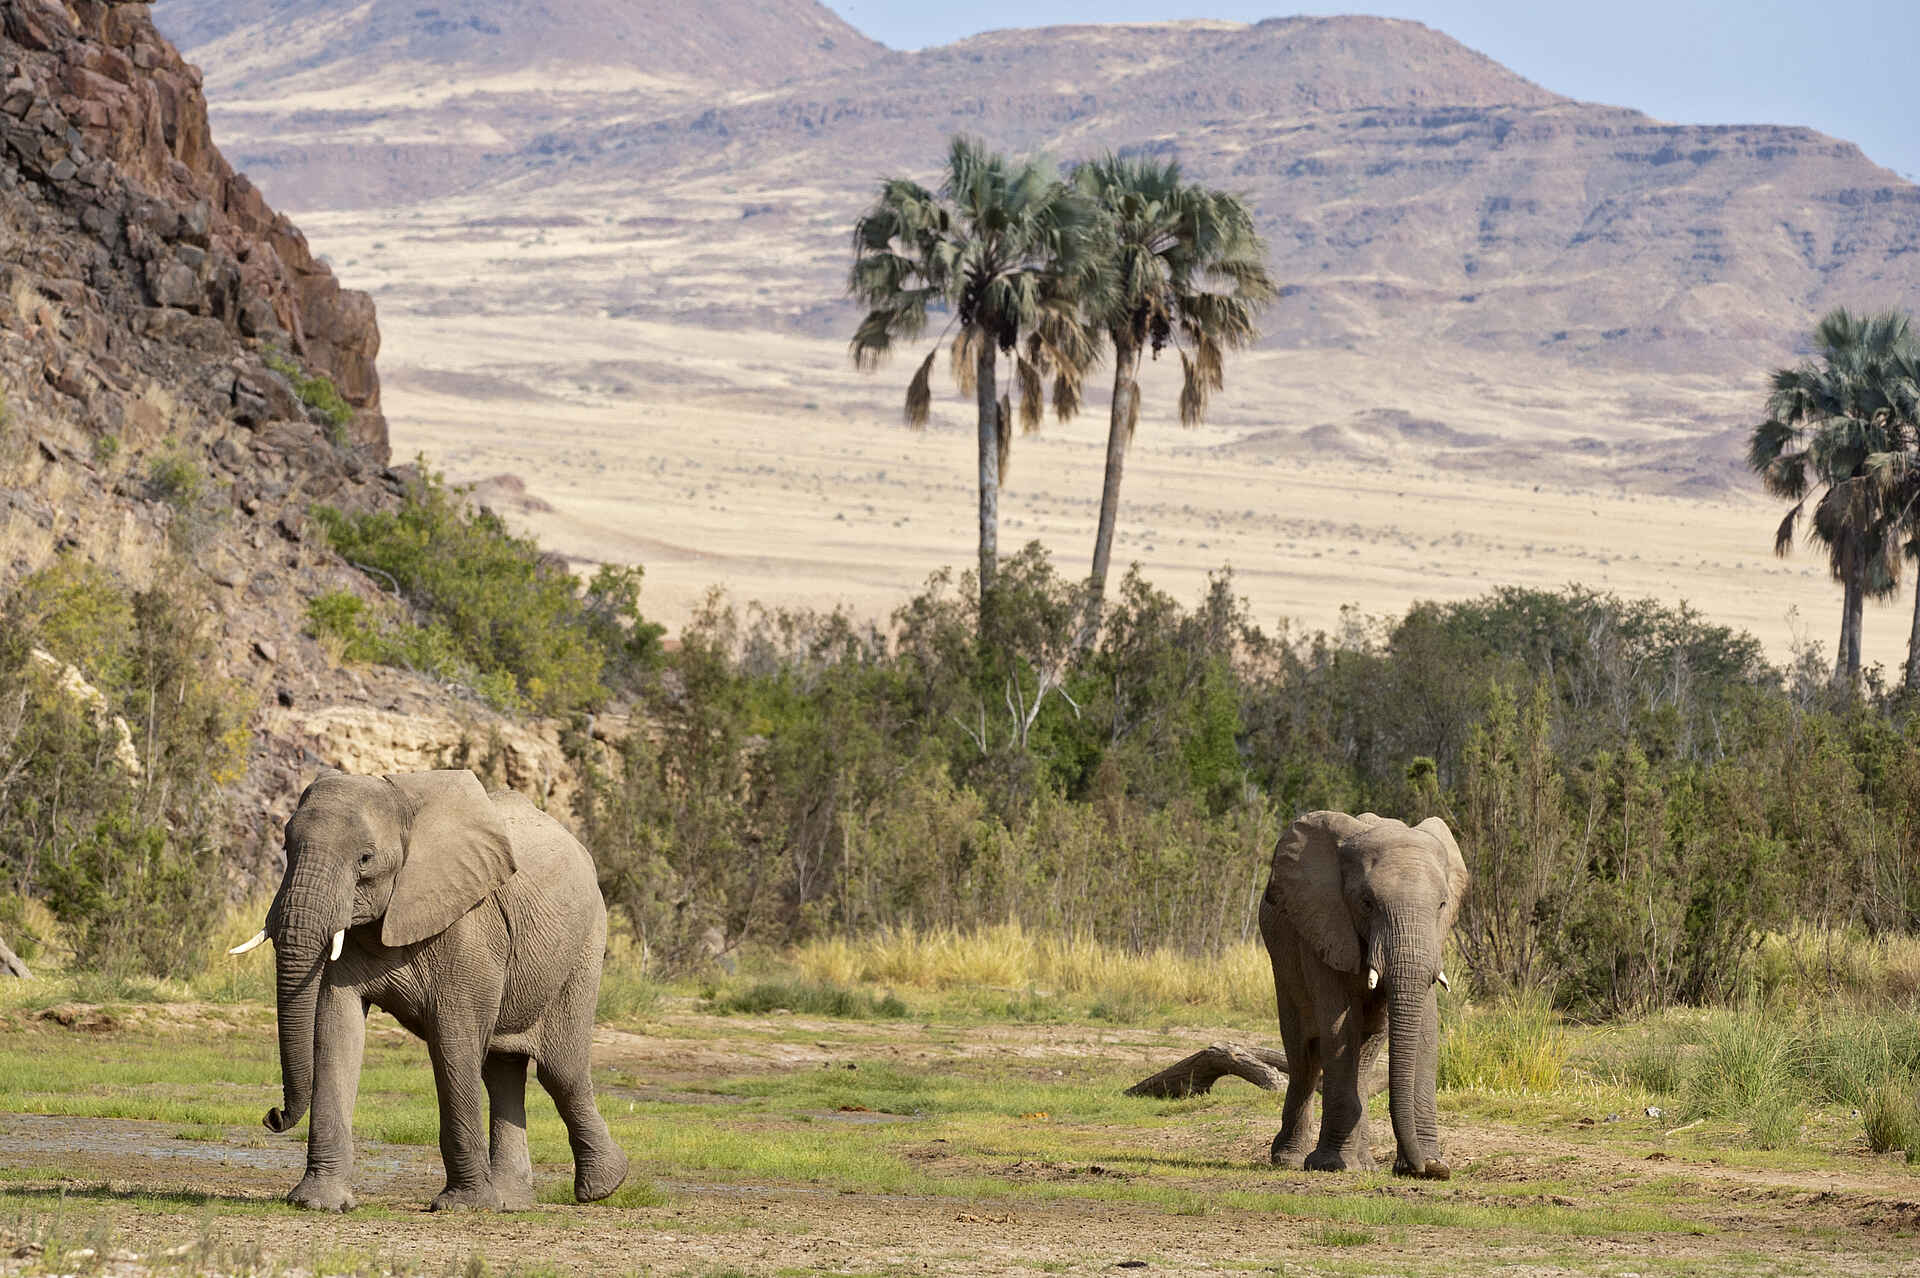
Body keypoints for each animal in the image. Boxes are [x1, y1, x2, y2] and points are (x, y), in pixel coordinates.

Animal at [228, 768, 629, 1212]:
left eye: (365, 859)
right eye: (286, 846)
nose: (272, 1115)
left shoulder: (469, 923)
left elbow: (453, 1040)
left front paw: (462, 1207)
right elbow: (335, 1030)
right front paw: (317, 1202)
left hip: (584, 946)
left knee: (561, 1071)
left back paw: (602, 1187)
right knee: (502, 1070)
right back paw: (511, 1201)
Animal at [1257, 810, 1467, 1179]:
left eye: (1442, 904)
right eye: (1366, 904)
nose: (1421, 1167)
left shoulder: (1433, 942)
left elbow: (1426, 1029)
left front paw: (1433, 1164)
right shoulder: (1324, 923)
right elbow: (1338, 1025)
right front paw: (1329, 1166)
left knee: (1366, 1054)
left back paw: (1363, 1163)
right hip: (1281, 958)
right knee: (1303, 1054)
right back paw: (1291, 1159)